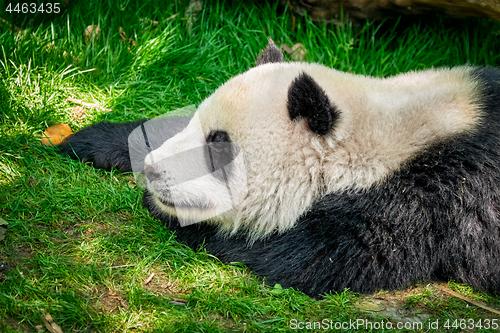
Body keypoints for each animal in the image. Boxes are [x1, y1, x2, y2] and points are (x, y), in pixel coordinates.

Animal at [61, 39, 500, 296]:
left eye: (219, 145)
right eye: (199, 126)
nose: (153, 172)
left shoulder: (427, 195)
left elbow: (313, 258)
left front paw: (182, 219)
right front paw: (95, 140)